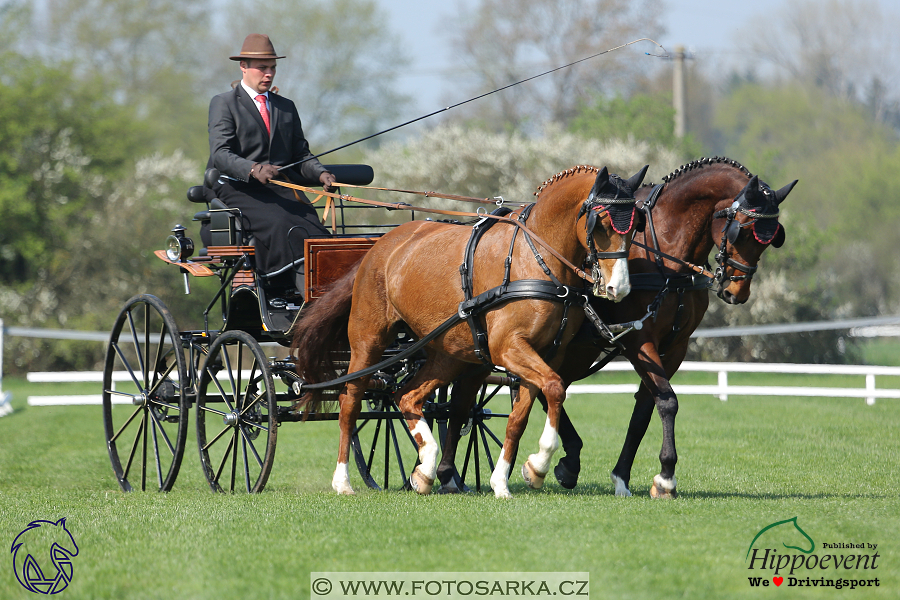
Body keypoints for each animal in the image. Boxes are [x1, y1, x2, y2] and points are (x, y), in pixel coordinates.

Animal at [294, 165, 648, 496]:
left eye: (635, 227)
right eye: (600, 224)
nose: (619, 288)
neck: (537, 259)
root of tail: (379, 246)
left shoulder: (547, 353)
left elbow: (522, 415)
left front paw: (510, 477)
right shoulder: (509, 347)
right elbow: (555, 387)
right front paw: (539, 464)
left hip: (449, 354)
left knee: (406, 396)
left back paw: (425, 469)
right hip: (368, 341)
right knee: (350, 402)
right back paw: (343, 480)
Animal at [436, 155, 796, 496]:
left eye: (771, 238)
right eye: (742, 228)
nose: (736, 292)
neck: (664, 256)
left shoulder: (675, 347)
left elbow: (646, 408)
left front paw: (631, 477)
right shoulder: (639, 339)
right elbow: (666, 400)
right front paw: (665, 477)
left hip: (573, 349)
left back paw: (564, 461)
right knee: (482, 397)